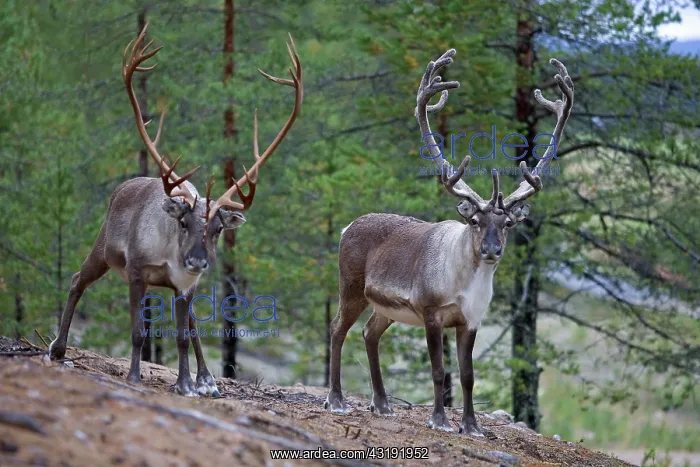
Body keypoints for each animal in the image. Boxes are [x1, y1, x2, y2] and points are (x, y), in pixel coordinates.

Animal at [48, 23, 303, 397]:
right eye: (183, 223)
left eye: (218, 229)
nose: (197, 261)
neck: (170, 253)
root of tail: (122, 187)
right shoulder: (137, 272)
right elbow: (138, 332)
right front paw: (135, 376)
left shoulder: (185, 286)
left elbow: (184, 335)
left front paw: (186, 384)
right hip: (103, 249)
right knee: (77, 279)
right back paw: (58, 348)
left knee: (193, 326)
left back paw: (207, 379)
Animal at [324, 49, 573, 435]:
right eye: (474, 221)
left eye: (507, 223)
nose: (491, 250)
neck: (465, 286)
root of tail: (346, 227)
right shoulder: (430, 312)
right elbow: (440, 371)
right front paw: (439, 420)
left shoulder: (470, 320)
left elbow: (468, 375)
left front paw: (472, 426)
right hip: (350, 287)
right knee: (337, 330)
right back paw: (336, 400)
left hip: (385, 307)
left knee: (368, 333)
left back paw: (382, 404)